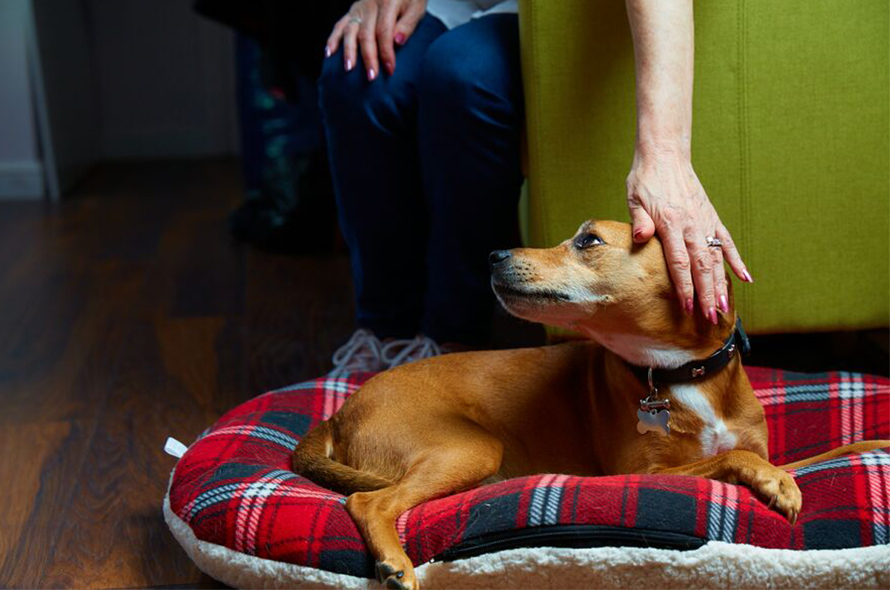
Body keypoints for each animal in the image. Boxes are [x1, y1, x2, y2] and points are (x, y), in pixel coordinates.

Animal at [294, 222, 888, 590]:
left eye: (589, 240)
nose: (494, 254)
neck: (682, 375)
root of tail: (340, 411)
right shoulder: (641, 473)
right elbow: (733, 459)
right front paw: (776, 484)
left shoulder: (768, 447)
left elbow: (820, 450)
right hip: (469, 449)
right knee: (369, 503)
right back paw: (395, 563)